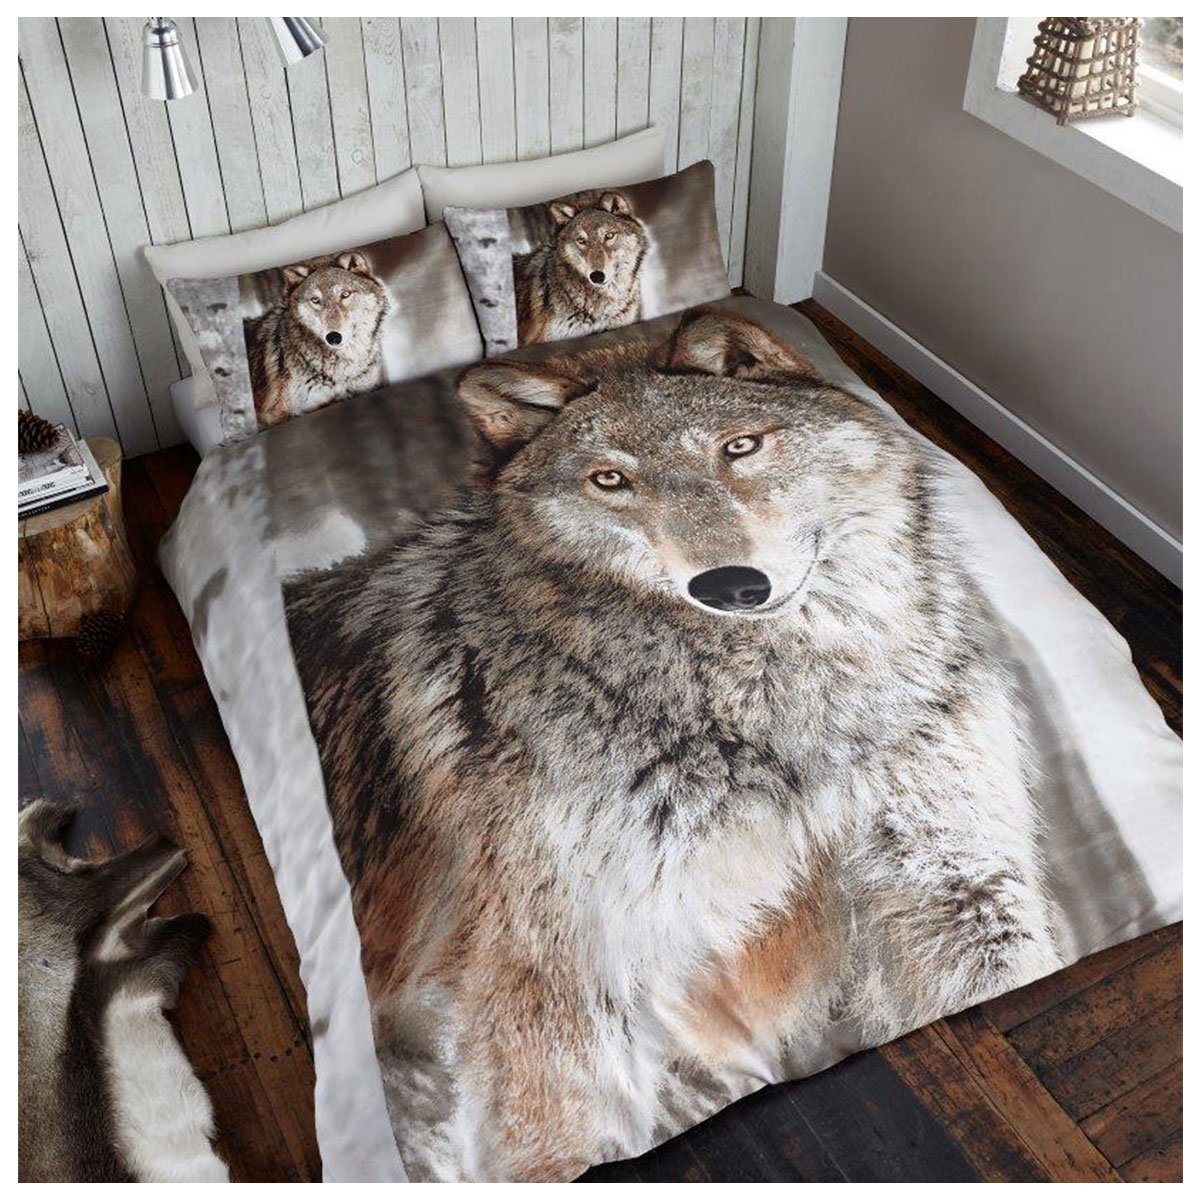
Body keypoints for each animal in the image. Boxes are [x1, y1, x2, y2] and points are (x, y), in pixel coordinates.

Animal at [286, 308, 1060, 1181]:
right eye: (610, 481)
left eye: (740, 447)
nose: (730, 586)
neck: (786, 720)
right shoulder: (560, 982)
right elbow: (563, 1141)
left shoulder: (959, 884)